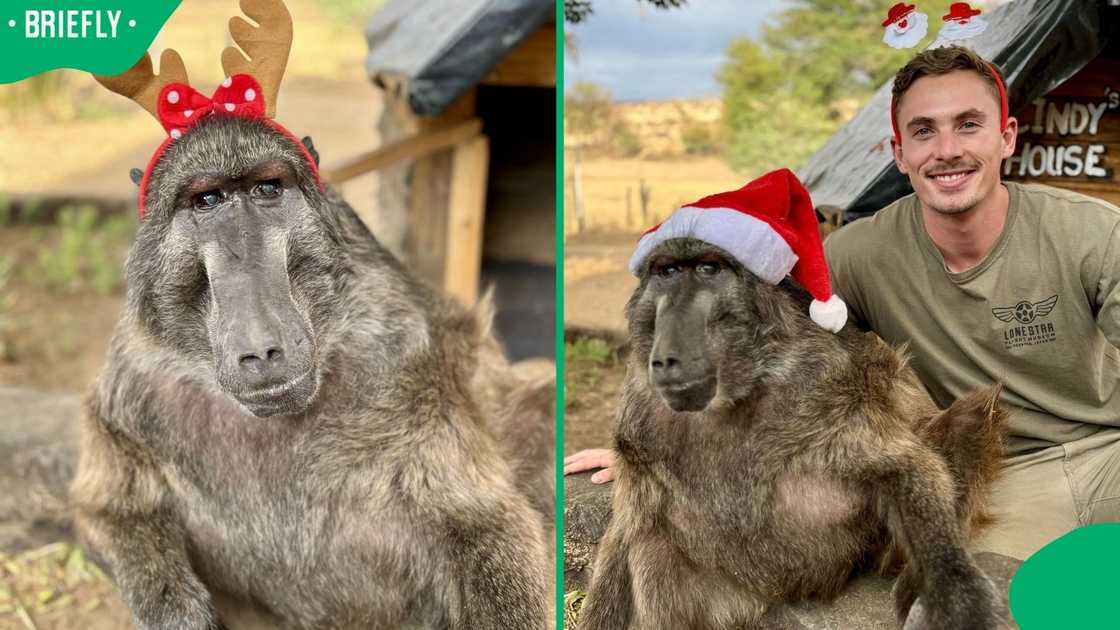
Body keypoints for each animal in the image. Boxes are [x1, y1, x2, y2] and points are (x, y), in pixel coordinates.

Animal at [69, 114, 553, 630]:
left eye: (268, 188)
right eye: (206, 200)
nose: (262, 349)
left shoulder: (403, 357)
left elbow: (488, 522)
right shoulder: (136, 384)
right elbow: (105, 511)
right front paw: (180, 613)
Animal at [576, 236, 1010, 630]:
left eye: (708, 269)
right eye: (666, 273)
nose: (668, 357)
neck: (737, 393)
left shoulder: (819, 384)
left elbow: (907, 467)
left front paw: (955, 591)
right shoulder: (640, 420)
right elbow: (626, 537)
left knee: (972, 414)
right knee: (651, 550)